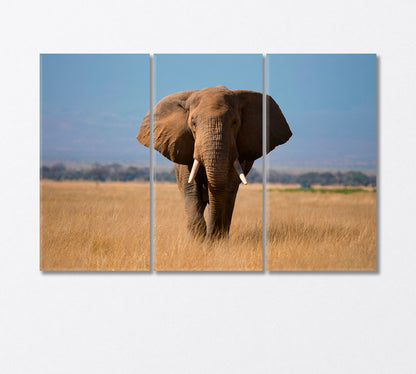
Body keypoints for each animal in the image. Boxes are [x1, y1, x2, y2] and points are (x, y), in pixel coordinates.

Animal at [137, 85, 292, 240]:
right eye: (193, 123)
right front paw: (197, 241)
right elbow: (190, 188)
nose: (210, 236)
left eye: (235, 122)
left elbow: (227, 189)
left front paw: (215, 240)